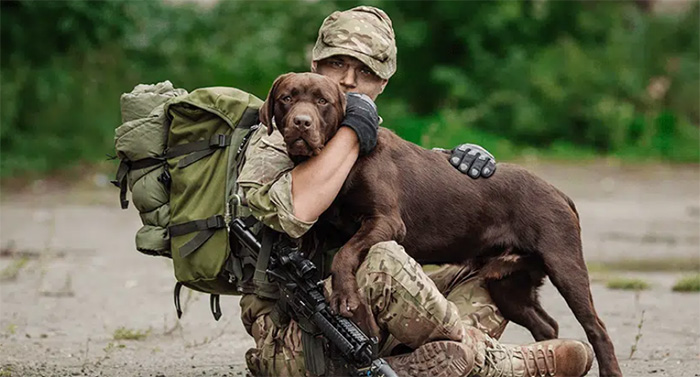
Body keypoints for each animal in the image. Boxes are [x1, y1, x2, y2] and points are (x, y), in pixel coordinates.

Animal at [260, 72, 620, 374]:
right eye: (287, 98)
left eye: (323, 101)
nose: (301, 123)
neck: (344, 159)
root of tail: (559, 192)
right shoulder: (319, 233)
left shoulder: (386, 220)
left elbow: (346, 254)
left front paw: (346, 298)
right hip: (507, 283)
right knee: (545, 325)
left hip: (564, 264)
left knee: (597, 328)